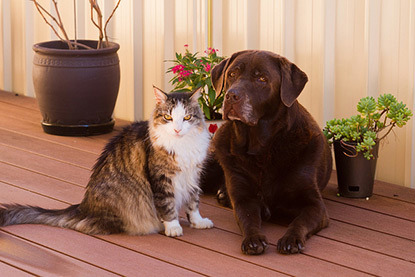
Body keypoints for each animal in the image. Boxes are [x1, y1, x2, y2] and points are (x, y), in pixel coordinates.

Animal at [0, 85, 214, 235]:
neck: (183, 145)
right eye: (168, 117)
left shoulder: (194, 175)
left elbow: (193, 203)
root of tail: (83, 207)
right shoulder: (161, 179)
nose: (177, 129)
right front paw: (173, 227)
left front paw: (198, 222)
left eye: (187, 117)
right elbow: (168, 205)